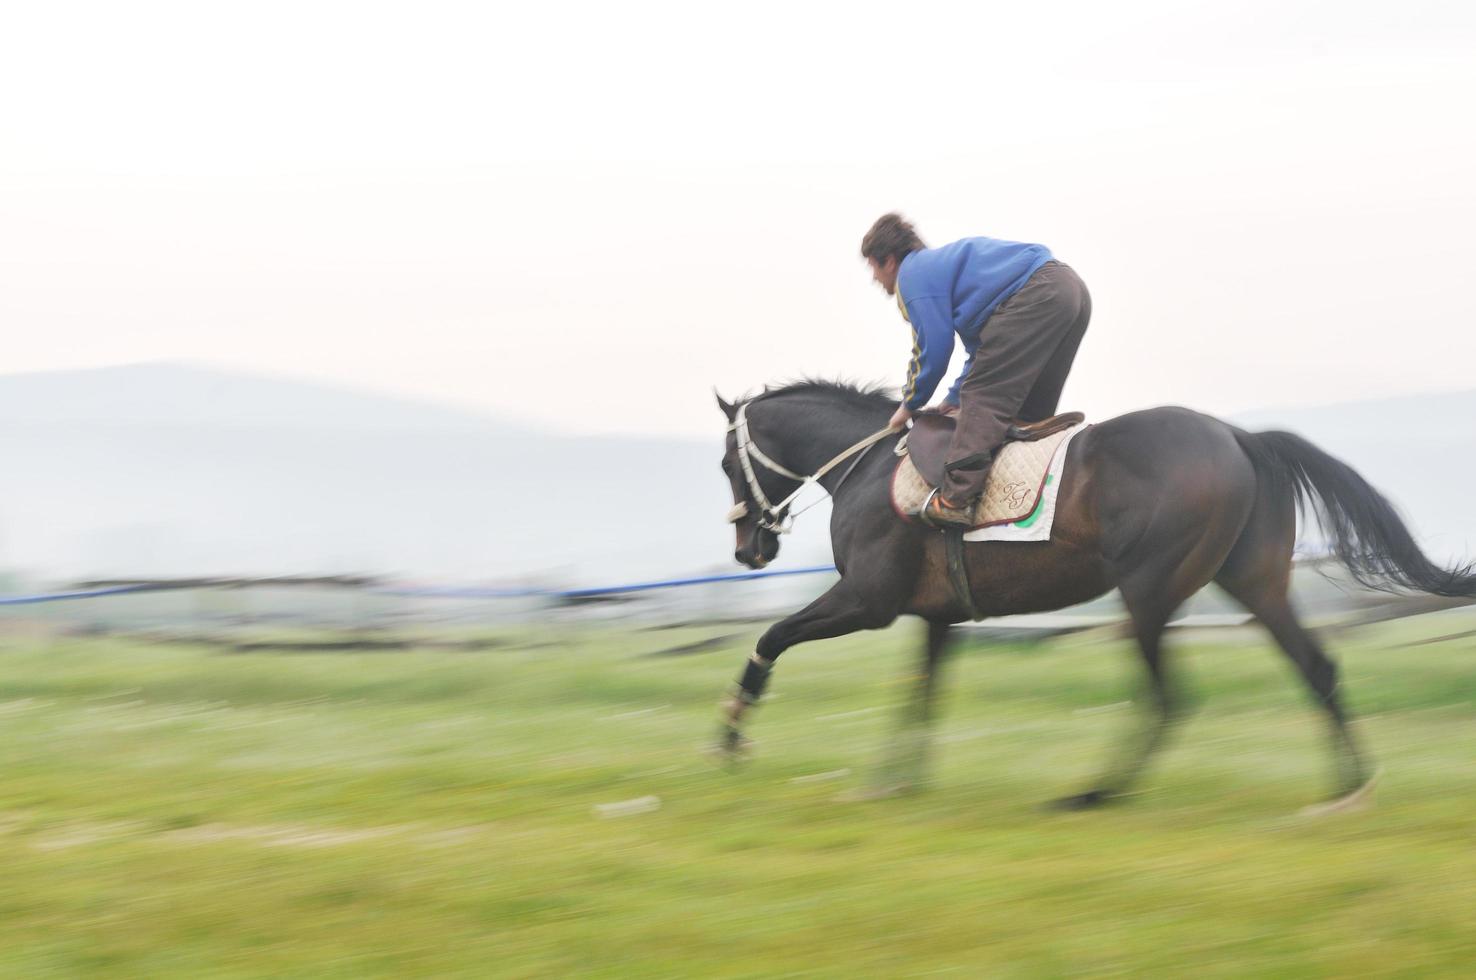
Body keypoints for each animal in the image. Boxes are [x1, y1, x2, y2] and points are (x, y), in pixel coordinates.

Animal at [714, 377, 1476, 808]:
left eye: (725, 461)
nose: (749, 549)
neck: (871, 465)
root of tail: (1238, 435)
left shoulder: (868, 604)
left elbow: (770, 638)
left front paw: (731, 733)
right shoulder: (937, 617)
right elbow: (922, 695)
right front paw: (897, 779)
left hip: (1149, 591)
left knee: (1169, 698)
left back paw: (1097, 791)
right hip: (1255, 582)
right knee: (1316, 668)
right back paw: (1351, 786)